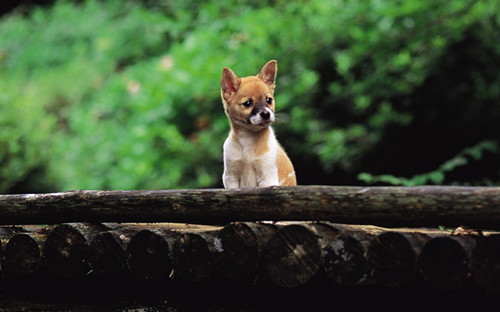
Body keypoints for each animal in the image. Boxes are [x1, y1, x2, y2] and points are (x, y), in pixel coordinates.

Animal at [220, 60, 296, 188]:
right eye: (248, 103)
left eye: (269, 100)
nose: (266, 114)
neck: (248, 138)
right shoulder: (231, 176)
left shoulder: (267, 177)